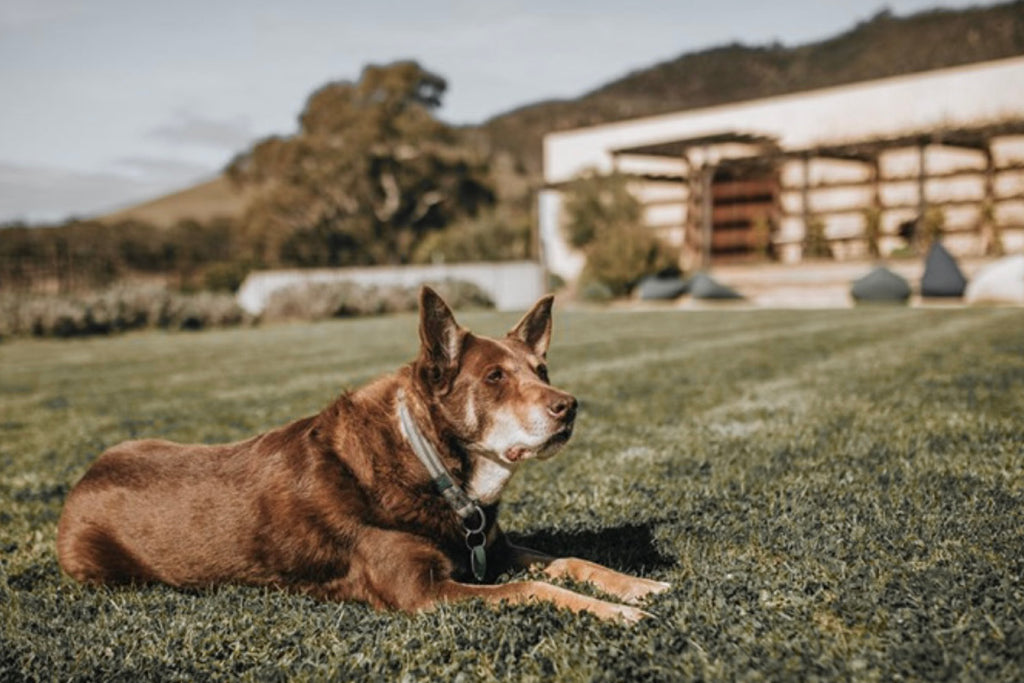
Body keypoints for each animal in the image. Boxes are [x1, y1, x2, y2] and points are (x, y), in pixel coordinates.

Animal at [56, 286, 667, 622]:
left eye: (542, 370)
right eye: (495, 377)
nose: (570, 406)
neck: (432, 465)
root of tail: (82, 479)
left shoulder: (493, 548)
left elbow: (571, 562)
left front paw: (638, 586)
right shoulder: (421, 590)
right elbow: (535, 587)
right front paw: (619, 611)